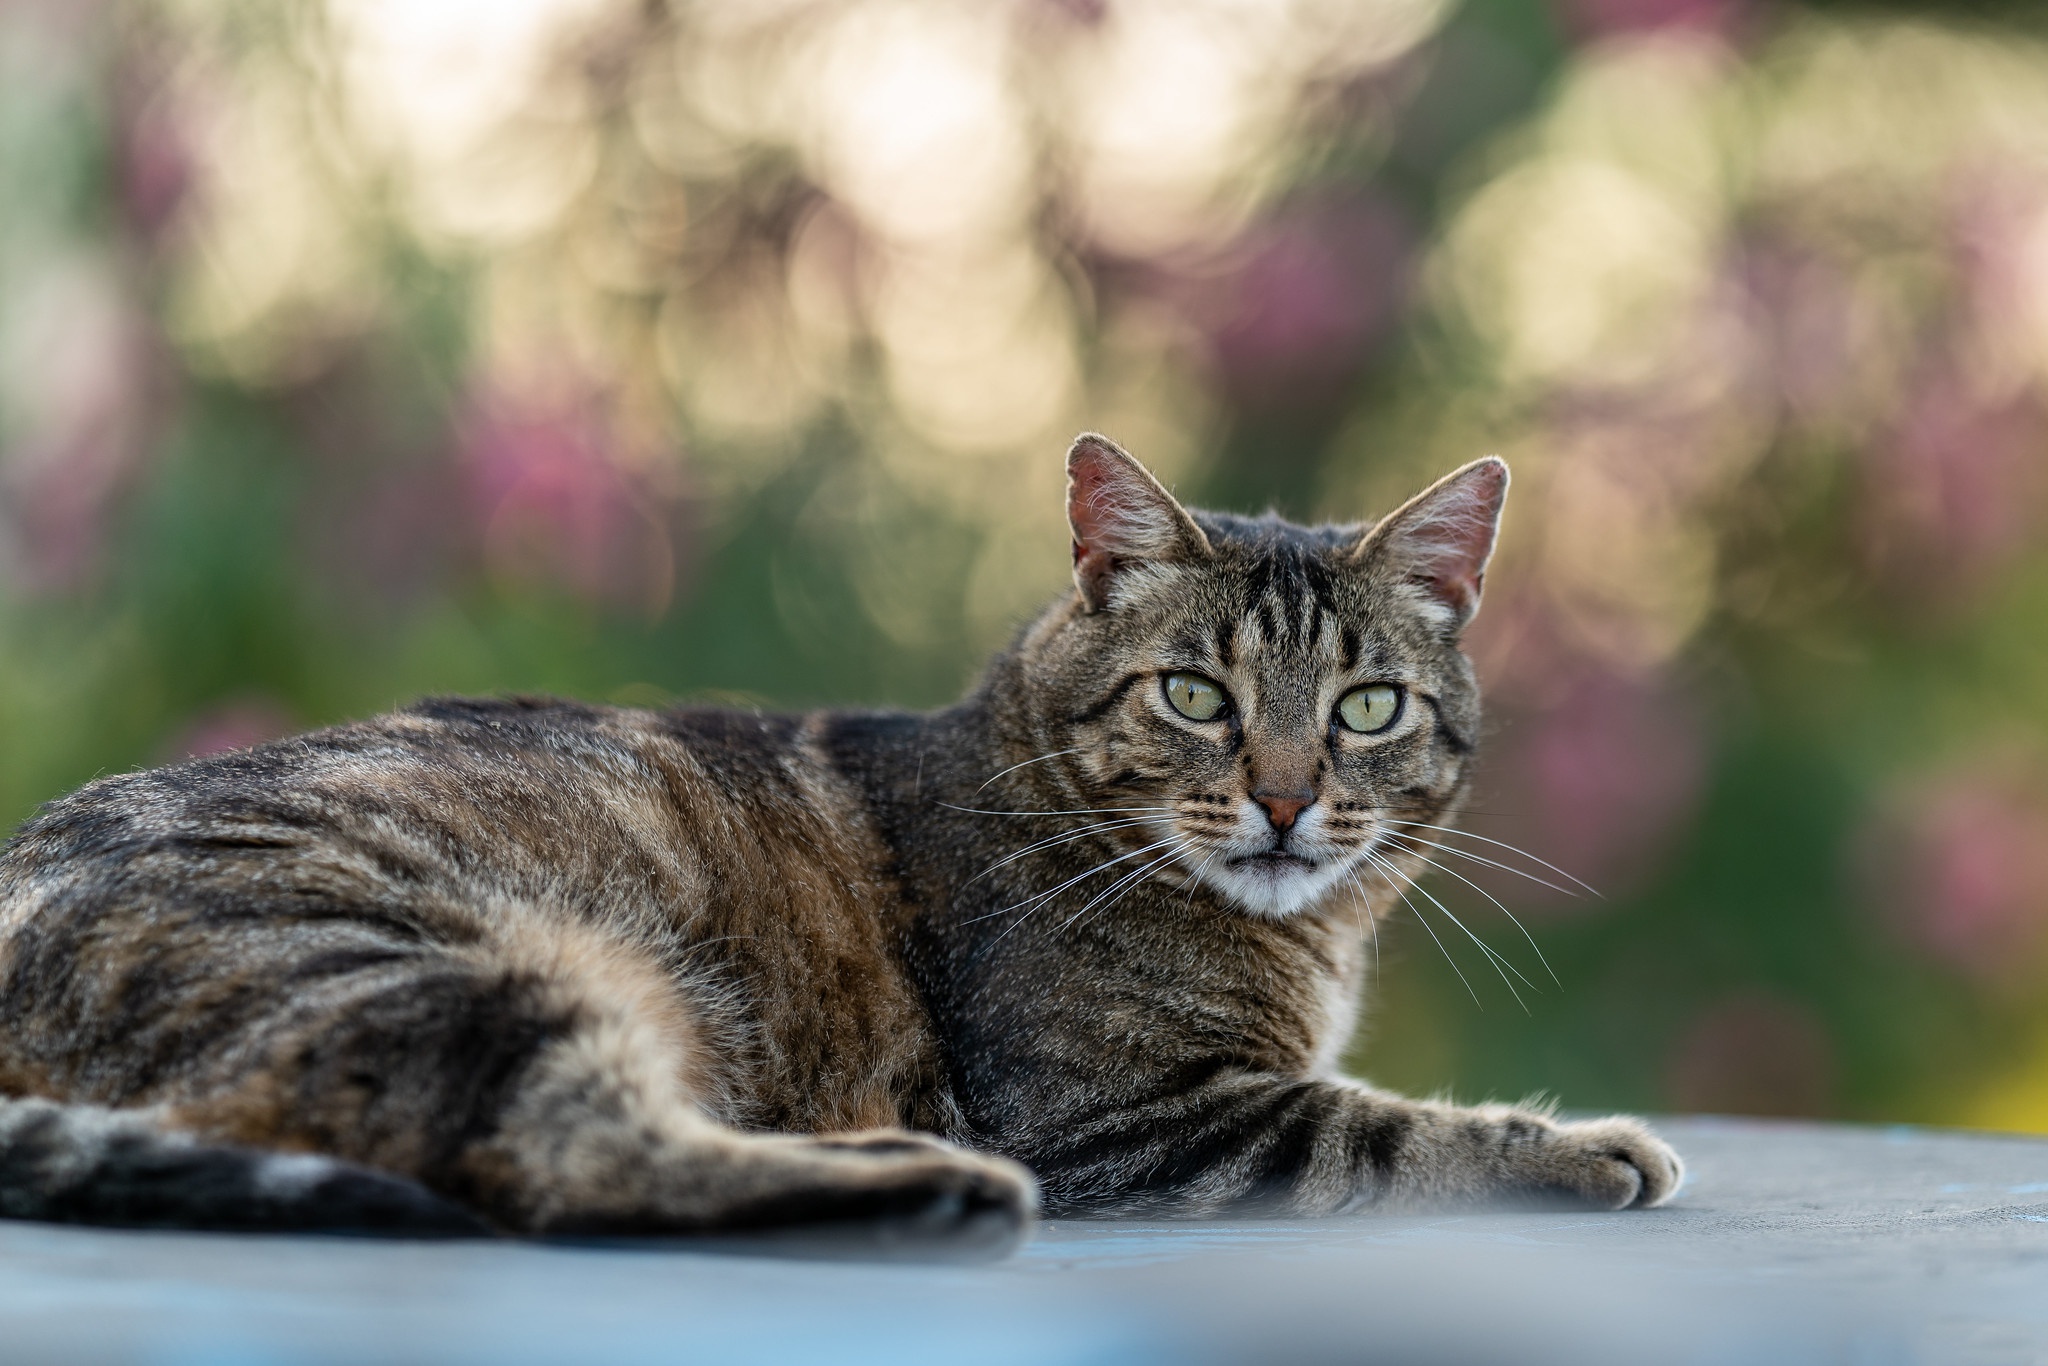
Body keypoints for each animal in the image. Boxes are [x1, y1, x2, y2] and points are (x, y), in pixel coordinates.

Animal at [0, 436, 1679, 1253]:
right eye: (1198, 694)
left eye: (1367, 706)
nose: (1281, 799)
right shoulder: (1131, 1120)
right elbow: (1382, 1127)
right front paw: (1586, 1142)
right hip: (445, 966)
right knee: (552, 1164)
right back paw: (922, 1184)